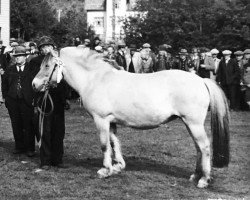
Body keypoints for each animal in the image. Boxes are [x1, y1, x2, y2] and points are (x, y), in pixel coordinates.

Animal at [32, 47, 229, 188]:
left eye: (47, 66)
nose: (34, 84)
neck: (95, 79)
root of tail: (201, 80)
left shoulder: (101, 120)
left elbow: (104, 145)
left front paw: (105, 170)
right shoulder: (110, 122)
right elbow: (114, 143)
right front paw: (118, 166)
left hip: (194, 123)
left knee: (204, 147)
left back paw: (204, 180)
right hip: (189, 123)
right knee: (198, 148)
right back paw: (195, 176)